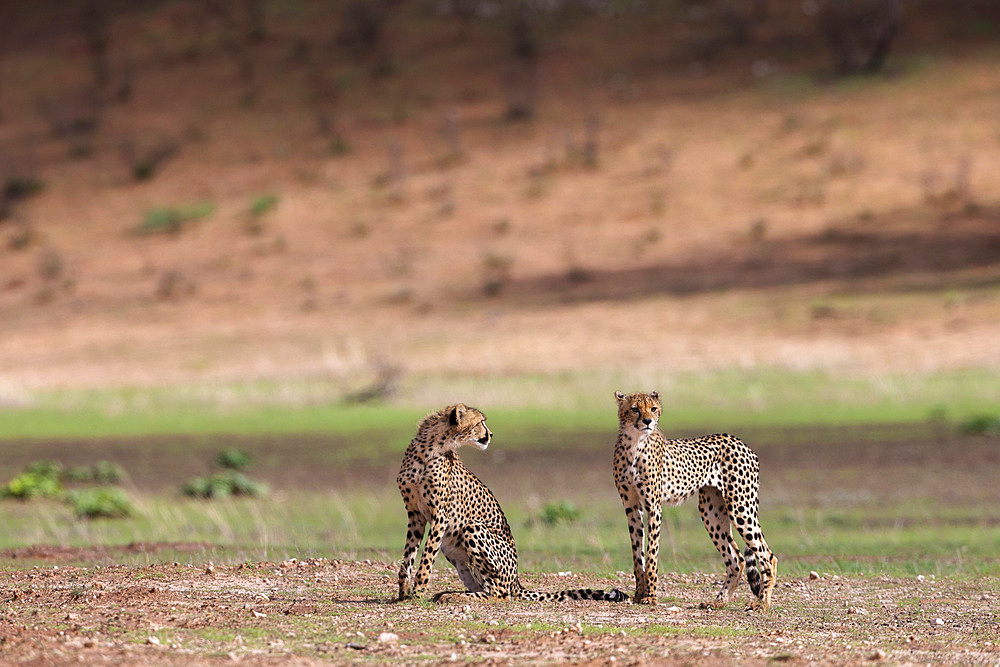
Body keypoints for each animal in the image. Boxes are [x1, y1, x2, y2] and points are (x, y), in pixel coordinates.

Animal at [396, 402, 624, 604]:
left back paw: (453, 596)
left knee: (499, 593)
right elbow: (408, 558)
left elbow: (426, 558)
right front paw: (404, 593)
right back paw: (449, 593)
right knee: (484, 587)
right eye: (480, 422)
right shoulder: (415, 515)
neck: (430, 447)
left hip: (472, 528)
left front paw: (417, 593)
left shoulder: (440, 516)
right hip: (452, 547)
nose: (491, 434)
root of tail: (516, 580)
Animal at [608, 392, 780, 612]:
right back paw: (718, 601)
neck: (634, 443)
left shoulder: (653, 507)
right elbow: (638, 555)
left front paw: (651, 597)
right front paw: (639, 594)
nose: (647, 421)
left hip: (740, 507)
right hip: (711, 512)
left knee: (768, 555)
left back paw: (762, 603)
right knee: (737, 559)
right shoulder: (631, 507)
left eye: (653, 408)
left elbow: (652, 554)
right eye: (635, 409)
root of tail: (740, 441)